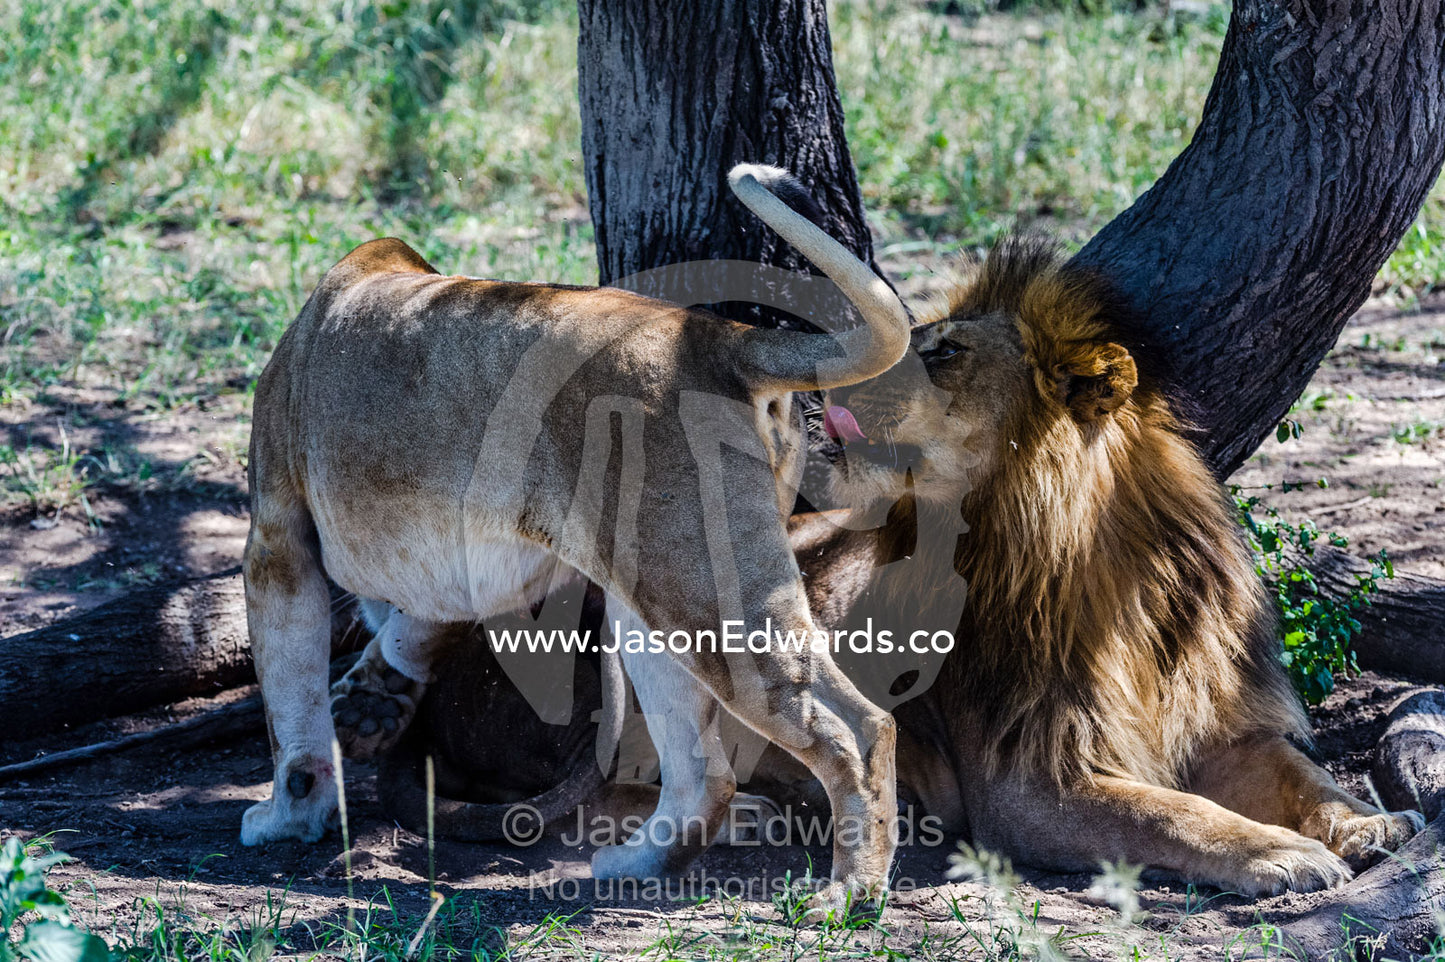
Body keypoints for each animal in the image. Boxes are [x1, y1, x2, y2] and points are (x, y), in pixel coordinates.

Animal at [239, 165, 910, 910]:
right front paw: (372, 694)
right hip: (649, 597)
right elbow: (414, 628)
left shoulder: (277, 539)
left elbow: (291, 706)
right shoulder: (481, 568)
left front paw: (289, 813)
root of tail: (716, 335)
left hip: (703, 593)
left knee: (858, 728)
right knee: (705, 774)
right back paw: (637, 865)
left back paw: (849, 894)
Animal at [373, 235, 1423, 898]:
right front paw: (1280, 857)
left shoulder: (1223, 722)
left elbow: (1297, 774)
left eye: (944, 352)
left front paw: (1363, 825)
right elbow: (1172, 817)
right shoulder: (1028, 787)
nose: (818, 387)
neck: (1097, 567)